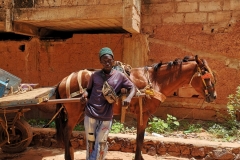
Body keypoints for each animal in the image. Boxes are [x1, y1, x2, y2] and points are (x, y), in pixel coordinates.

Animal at [55, 55, 217, 160]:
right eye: (205, 73)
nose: (214, 96)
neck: (154, 81)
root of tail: (63, 80)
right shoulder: (143, 113)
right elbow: (139, 139)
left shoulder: (142, 113)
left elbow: (141, 138)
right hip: (75, 113)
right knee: (66, 131)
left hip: (81, 113)